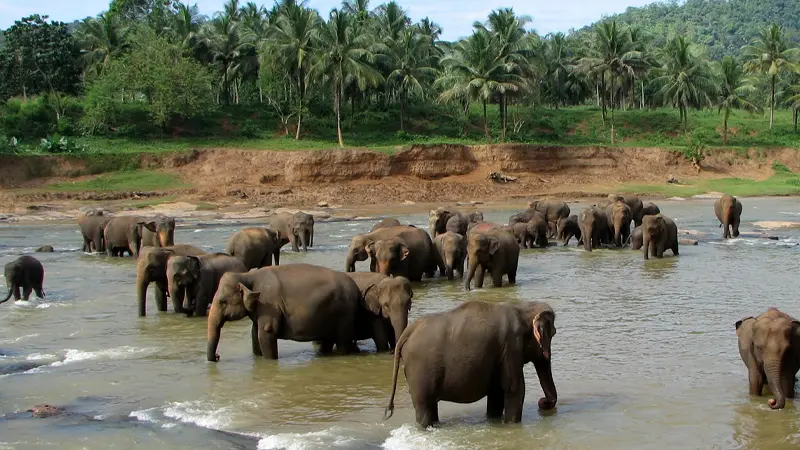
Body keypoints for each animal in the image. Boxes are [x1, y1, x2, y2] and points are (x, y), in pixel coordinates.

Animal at [206, 264, 362, 361]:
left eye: (222, 302)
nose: (218, 356)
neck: (248, 276)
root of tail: (356, 287)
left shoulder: (268, 304)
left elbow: (266, 332)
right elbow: (255, 333)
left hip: (345, 312)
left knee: (342, 342)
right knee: (328, 341)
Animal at [384, 301, 557, 427]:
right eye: (553, 333)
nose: (542, 402)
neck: (523, 308)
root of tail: (408, 331)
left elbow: (496, 393)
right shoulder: (511, 347)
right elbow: (515, 389)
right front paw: (511, 425)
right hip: (420, 370)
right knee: (424, 406)